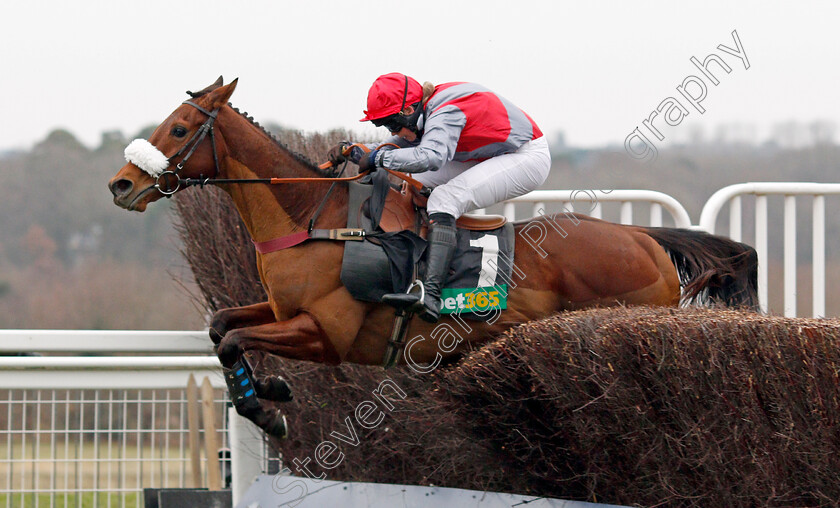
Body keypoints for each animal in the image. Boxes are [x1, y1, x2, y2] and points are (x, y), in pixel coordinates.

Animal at [108, 76, 756, 436]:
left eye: (180, 128)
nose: (121, 185)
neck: (313, 217)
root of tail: (645, 239)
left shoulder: (325, 333)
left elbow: (236, 340)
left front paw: (270, 407)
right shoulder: (283, 309)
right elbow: (222, 327)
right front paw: (266, 393)